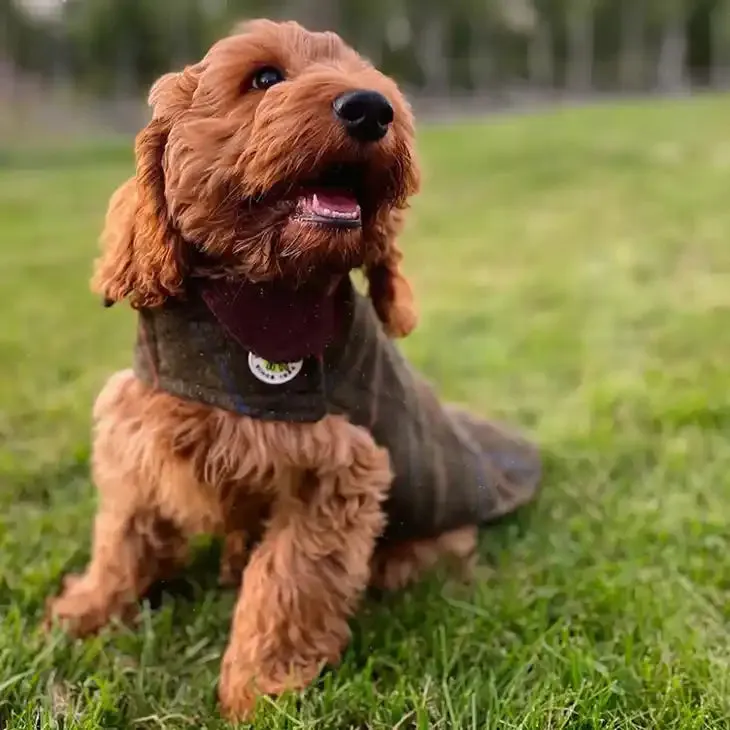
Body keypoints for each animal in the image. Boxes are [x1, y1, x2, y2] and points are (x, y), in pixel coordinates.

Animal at [44, 18, 540, 724]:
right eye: (264, 77)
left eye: (367, 74)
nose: (372, 107)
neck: (253, 301)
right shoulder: (141, 428)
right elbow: (121, 535)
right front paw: (85, 610)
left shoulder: (331, 473)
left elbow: (286, 583)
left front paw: (260, 690)